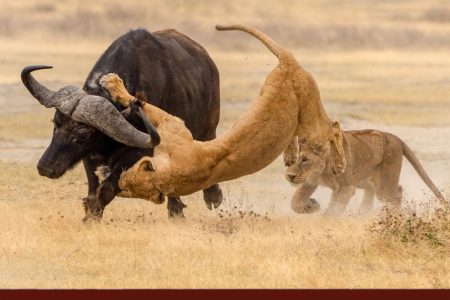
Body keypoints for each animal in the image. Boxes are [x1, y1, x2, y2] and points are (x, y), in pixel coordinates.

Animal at [22, 28, 222, 220]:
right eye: (56, 122)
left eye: (83, 133)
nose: (45, 167)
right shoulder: (90, 157)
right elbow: (93, 191)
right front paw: (89, 216)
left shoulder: (138, 154)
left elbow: (106, 189)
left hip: (208, 130)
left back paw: (204, 200)